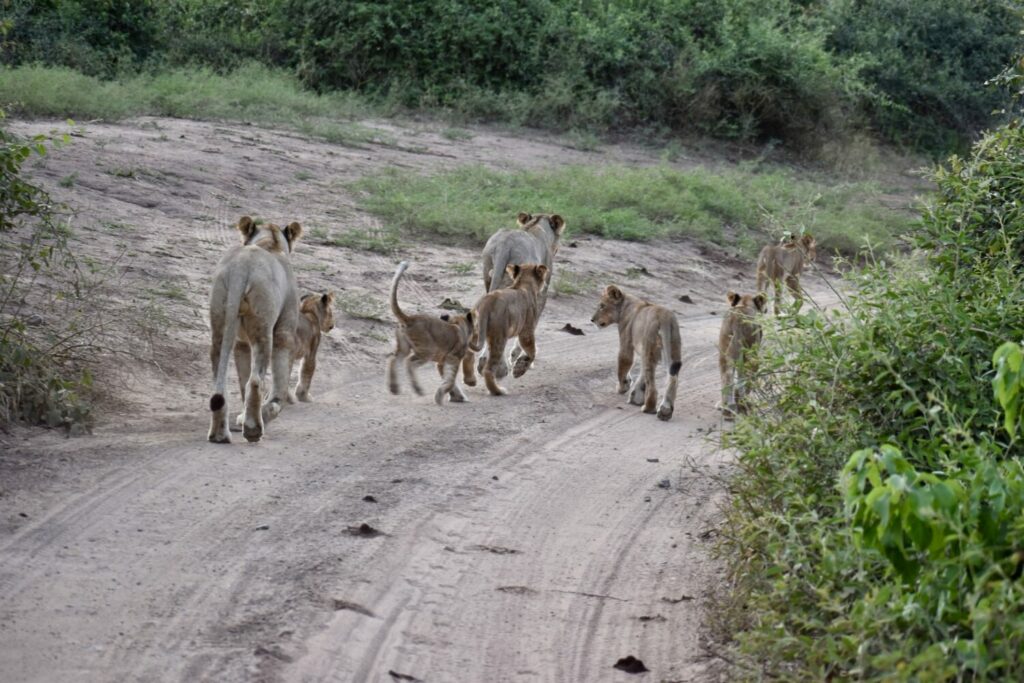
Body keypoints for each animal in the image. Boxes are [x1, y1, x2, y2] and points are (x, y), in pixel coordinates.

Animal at [207, 216, 301, 446]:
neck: (269, 243)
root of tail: (241, 267)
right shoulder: (285, 333)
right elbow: (278, 387)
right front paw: (267, 412)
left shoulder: (241, 343)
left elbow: (242, 382)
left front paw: (243, 416)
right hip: (263, 327)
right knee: (257, 380)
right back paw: (253, 429)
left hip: (220, 322)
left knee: (220, 383)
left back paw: (220, 435)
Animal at [593, 284, 679, 421]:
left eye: (602, 306)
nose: (592, 320)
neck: (626, 305)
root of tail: (664, 317)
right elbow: (641, 374)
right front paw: (635, 396)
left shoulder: (626, 343)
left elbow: (623, 365)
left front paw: (623, 387)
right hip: (672, 350)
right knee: (673, 378)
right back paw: (665, 411)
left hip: (649, 349)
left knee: (652, 385)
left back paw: (648, 408)